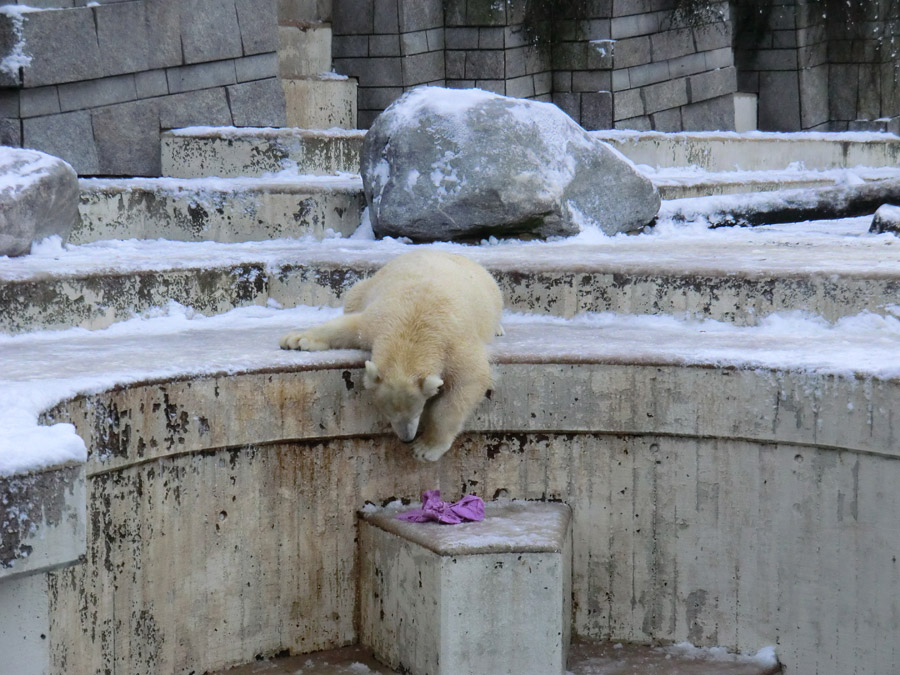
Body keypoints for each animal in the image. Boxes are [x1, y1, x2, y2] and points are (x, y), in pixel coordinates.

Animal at [280, 250, 502, 464]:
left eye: (417, 411)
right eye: (389, 414)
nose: (407, 439)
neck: (413, 330)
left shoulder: (454, 344)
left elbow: (469, 380)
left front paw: (425, 449)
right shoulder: (379, 322)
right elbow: (348, 326)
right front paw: (296, 340)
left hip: (492, 292)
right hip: (367, 286)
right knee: (353, 297)